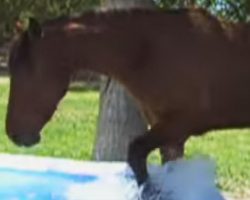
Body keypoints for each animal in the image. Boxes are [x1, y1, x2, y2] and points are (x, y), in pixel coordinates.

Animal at [5, 7, 250, 186]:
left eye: (28, 73)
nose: (14, 134)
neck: (149, 52)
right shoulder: (171, 136)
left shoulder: (180, 124)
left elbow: (135, 153)